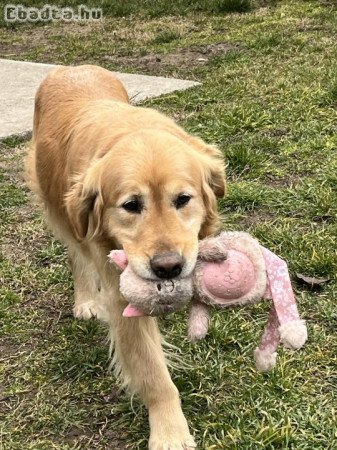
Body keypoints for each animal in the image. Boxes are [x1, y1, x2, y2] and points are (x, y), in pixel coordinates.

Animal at [25, 65, 226, 448]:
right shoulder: (121, 295)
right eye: (131, 205)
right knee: (76, 257)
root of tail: (70, 68)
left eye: (183, 199)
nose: (168, 267)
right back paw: (86, 301)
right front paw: (170, 432)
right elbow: (153, 374)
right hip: (61, 212)